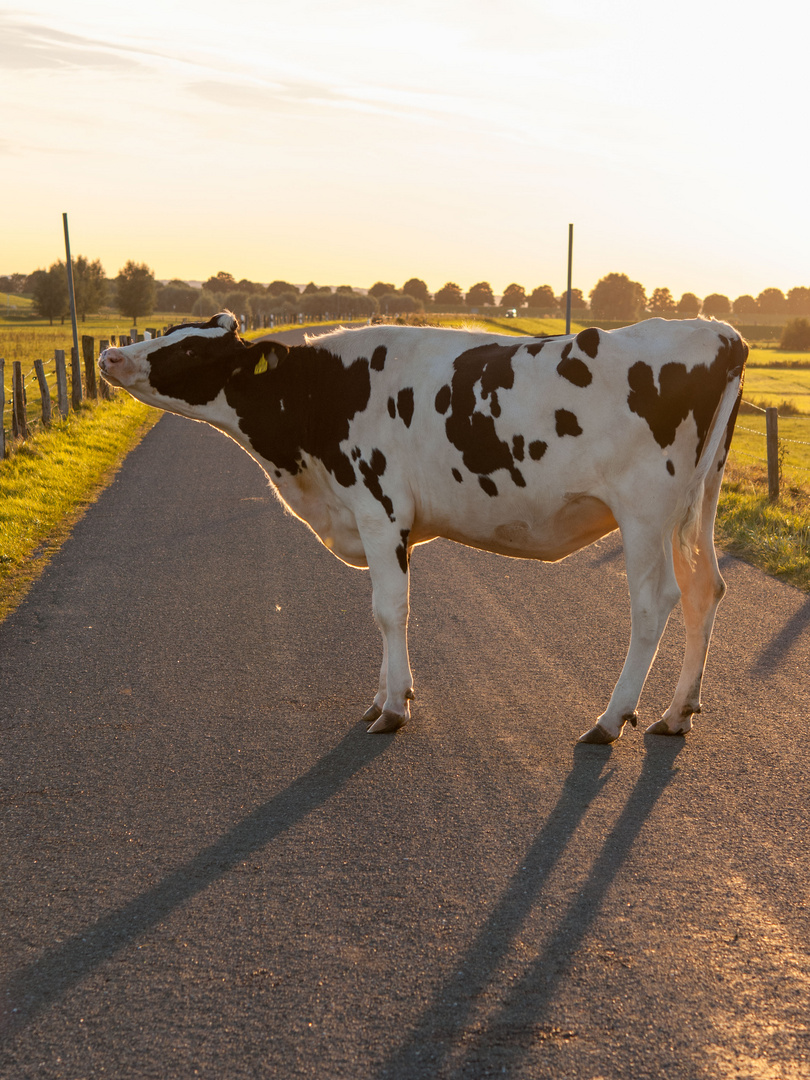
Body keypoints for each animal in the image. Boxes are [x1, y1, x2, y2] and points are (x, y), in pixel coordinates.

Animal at [99, 313, 747, 743]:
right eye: (170, 331)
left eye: (192, 353)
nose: (110, 357)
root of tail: (719, 332)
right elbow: (384, 612)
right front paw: (384, 695)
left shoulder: (378, 510)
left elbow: (389, 610)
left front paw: (392, 708)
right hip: (699, 501)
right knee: (705, 590)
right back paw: (677, 713)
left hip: (645, 511)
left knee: (654, 603)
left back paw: (612, 719)